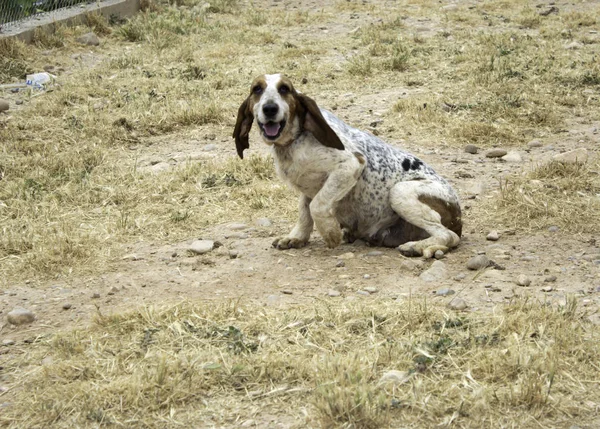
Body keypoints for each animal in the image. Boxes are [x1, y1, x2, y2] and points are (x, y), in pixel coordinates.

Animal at [232, 72, 462, 258]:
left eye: (284, 89)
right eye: (257, 89)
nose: (270, 108)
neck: (293, 142)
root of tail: (459, 219)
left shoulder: (350, 165)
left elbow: (317, 206)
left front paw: (330, 233)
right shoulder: (307, 187)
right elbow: (305, 212)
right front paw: (296, 237)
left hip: (400, 192)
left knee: (448, 235)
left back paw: (418, 247)